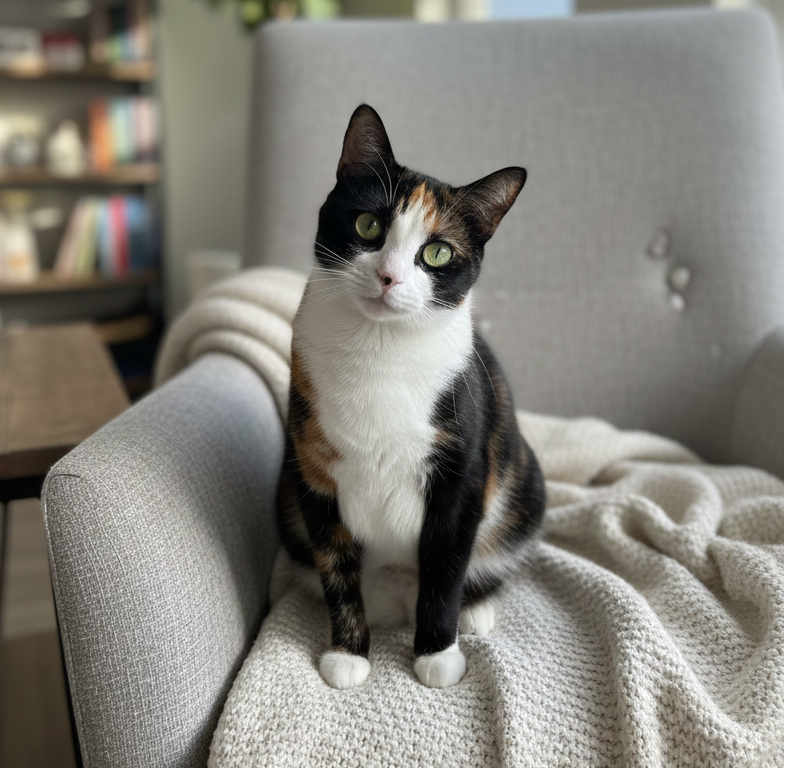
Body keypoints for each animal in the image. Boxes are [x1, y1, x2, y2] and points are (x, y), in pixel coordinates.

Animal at [276, 104, 545, 690]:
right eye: (368, 224)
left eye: (437, 252)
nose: (389, 276)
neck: (379, 351)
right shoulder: (312, 470)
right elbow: (336, 567)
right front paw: (349, 653)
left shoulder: (461, 474)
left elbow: (445, 567)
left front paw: (437, 653)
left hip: (525, 484)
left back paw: (476, 609)